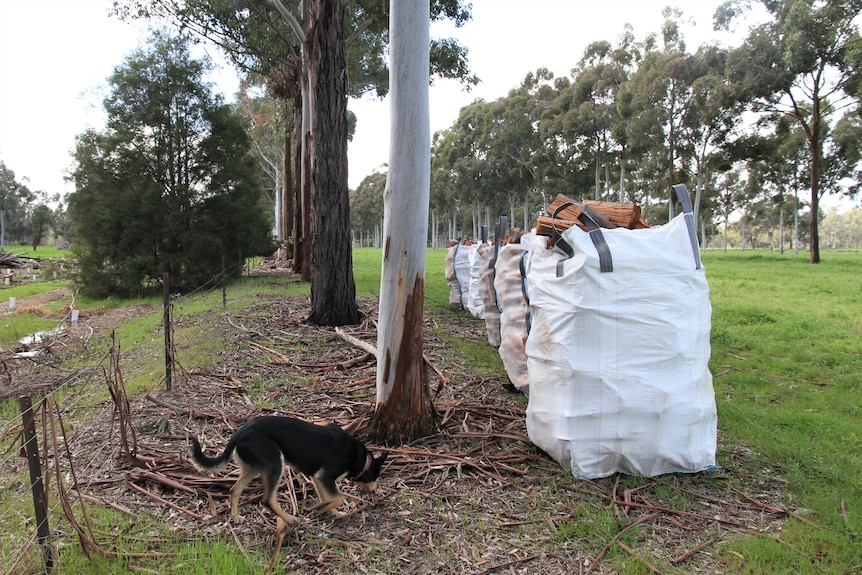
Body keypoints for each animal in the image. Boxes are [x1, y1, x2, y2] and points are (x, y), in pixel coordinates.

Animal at [194, 414, 390, 532]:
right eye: (376, 476)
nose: (375, 491)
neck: (360, 459)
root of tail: (241, 432)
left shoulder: (317, 478)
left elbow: (328, 498)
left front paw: (333, 513)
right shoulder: (324, 476)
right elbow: (338, 498)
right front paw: (319, 509)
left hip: (252, 468)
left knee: (235, 490)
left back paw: (236, 517)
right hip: (276, 464)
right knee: (267, 500)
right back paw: (291, 520)